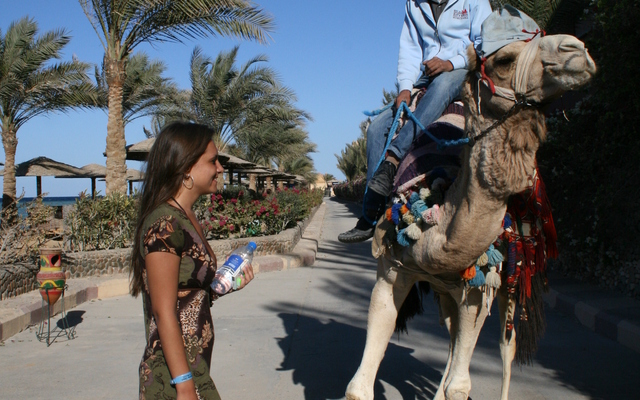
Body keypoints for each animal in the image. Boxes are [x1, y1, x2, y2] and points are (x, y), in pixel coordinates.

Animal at [344, 7, 596, 400]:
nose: (577, 49)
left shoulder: (477, 286)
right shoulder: (392, 270)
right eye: (504, 60)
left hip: (512, 272)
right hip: (446, 288)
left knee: (505, 348)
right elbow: (360, 384)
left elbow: (461, 384)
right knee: (450, 335)